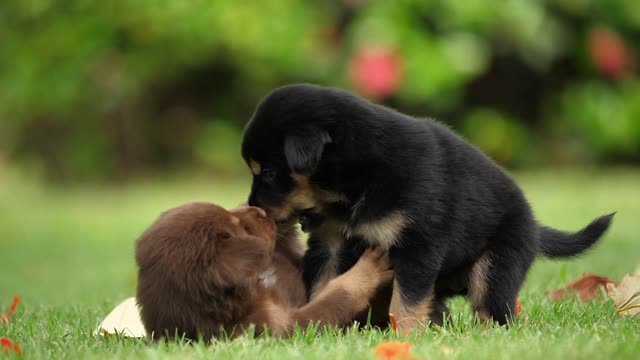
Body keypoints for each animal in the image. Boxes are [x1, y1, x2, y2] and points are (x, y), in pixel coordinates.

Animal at [241, 84, 616, 332]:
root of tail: (534, 226)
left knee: (494, 311)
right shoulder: (330, 243)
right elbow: (324, 286)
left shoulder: (416, 246)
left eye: (268, 172)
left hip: (497, 266)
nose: (254, 209)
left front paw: (405, 337)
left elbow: (405, 302)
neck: (354, 184)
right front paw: (324, 328)